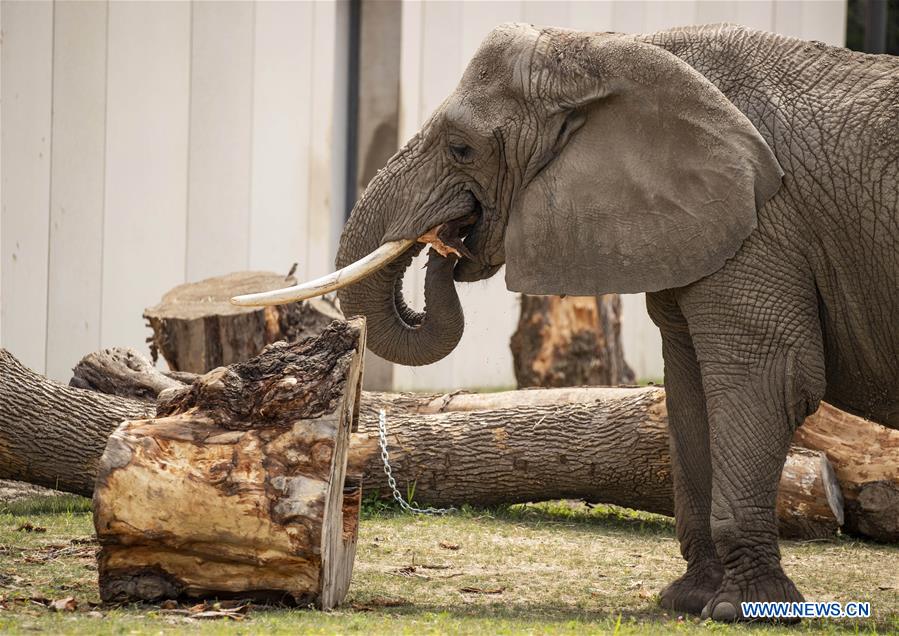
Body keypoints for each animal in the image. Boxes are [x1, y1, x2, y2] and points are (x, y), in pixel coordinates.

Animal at [234, 23, 899, 620]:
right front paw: (690, 603)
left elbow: (767, 380)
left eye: (462, 148)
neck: (617, 50)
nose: (447, 244)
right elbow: (689, 392)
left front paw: (748, 611)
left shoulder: (765, 226)